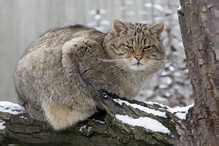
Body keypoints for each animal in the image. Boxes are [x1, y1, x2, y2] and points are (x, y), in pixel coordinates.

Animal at [14, 19, 164, 130]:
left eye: (147, 47)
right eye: (129, 46)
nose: (138, 57)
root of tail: (21, 99)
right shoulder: (77, 47)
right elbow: (90, 90)